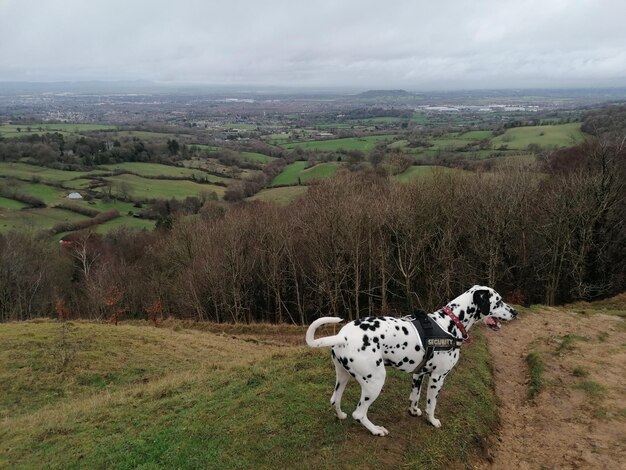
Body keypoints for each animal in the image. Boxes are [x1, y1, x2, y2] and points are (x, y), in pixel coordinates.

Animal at [304, 284, 516, 436]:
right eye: (499, 301)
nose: (516, 312)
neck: (450, 322)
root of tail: (343, 337)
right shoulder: (438, 377)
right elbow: (431, 404)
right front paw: (433, 421)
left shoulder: (418, 374)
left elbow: (414, 397)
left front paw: (413, 412)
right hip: (375, 381)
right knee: (359, 413)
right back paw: (376, 430)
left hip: (343, 377)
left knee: (335, 400)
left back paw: (341, 415)